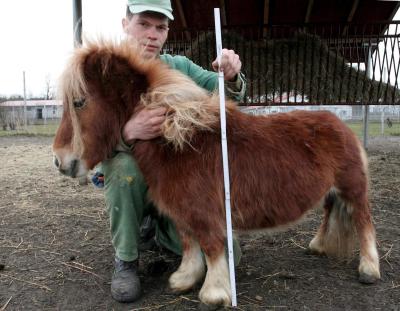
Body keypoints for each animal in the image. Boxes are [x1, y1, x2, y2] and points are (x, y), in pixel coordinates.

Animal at [53, 39, 382, 310]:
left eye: (79, 102)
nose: (59, 160)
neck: (177, 140)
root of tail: (339, 125)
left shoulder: (205, 214)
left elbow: (211, 247)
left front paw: (214, 294)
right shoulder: (182, 211)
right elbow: (190, 244)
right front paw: (184, 279)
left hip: (353, 187)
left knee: (363, 221)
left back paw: (369, 269)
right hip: (331, 191)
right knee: (329, 212)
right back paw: (318, 246)